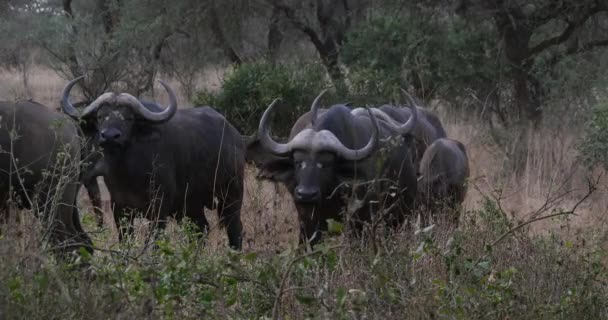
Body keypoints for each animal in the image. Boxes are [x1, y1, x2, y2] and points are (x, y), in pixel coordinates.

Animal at [60, 77, 243, 250]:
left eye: (129, 118)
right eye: (100, 116)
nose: (110, 136)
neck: (127, 173)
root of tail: (235, 137)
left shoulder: (159, 210)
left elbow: (154, 243)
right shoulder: (119, 209)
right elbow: (125, 240)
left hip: (231, 197)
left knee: (234, 229)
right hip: (193, 205)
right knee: (201, 229)